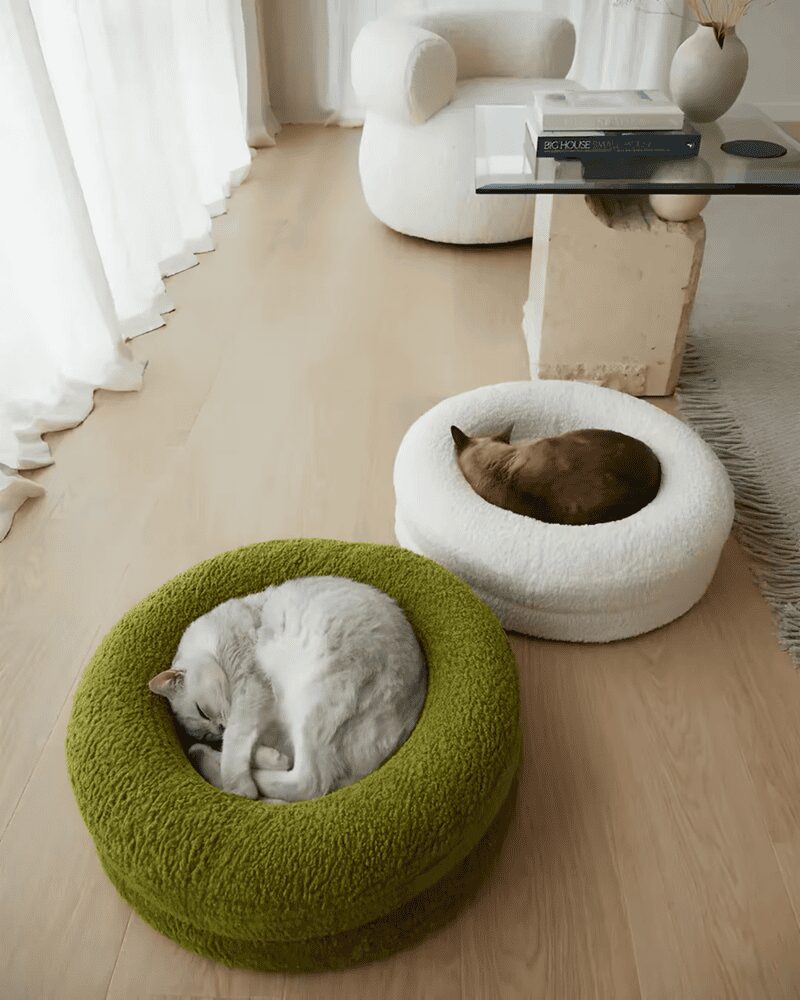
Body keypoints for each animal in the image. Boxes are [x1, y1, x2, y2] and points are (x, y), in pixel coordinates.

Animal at [148, 576, 427, 803]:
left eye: (202, 711)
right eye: (206, 732)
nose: (218, 728)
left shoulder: (249, 688)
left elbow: (235, 745)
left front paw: (240, 787)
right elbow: (240, 746)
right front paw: (260, 759)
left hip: (314, 704)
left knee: (309, 782)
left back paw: (247, 781)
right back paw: (207, 756)